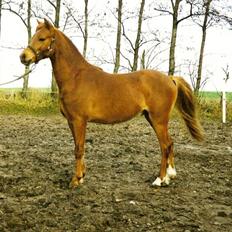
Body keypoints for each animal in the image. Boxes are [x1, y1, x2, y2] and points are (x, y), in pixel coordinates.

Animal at [20, 19, 203, 188]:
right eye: (34, 36)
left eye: (42, 38)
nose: (23, 57)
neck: (75, 77)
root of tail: (170, 78)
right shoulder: (72, 122)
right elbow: (79, 148)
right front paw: (82, 176)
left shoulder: (79, 121)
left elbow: (79, 149)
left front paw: (76, 180)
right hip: (152, 118)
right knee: (170, 144)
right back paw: (170, 176)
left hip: (159, 120)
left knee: (165, 146)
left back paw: (159, 179)